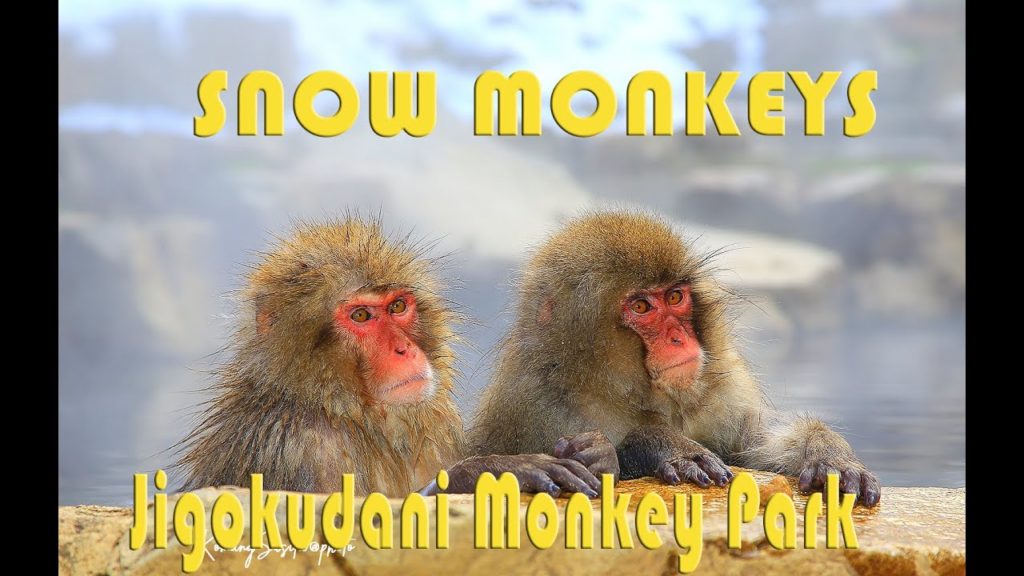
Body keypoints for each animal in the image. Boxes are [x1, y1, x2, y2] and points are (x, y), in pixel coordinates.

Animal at [175, 216, 602, 498]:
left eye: (397, 306)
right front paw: (488, 472)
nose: (404, 348)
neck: (344, 412)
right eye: (361, 316)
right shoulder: (296, 449)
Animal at [469, 210, 881, 506]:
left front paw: (828, 454)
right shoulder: (541, 407)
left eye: (675, 297)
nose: (678, 338)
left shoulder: (724, 390)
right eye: (640, 306)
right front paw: (655, 445)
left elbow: (753, 448)